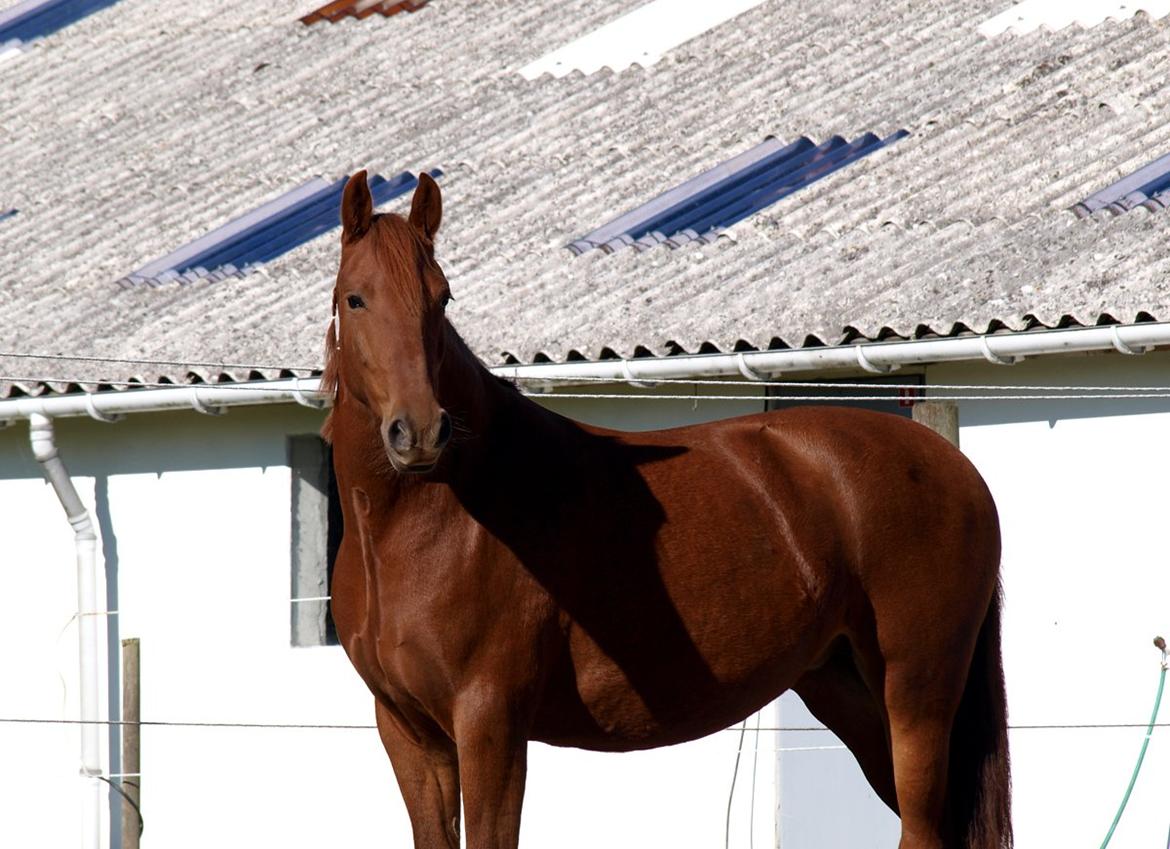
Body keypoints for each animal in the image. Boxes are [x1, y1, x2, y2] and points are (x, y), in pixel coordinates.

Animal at [322, 173, 1015, 849]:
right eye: (355, 299)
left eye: (441, 300)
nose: (419, 433)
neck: (430, 526)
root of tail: (952, 465)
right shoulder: (411, 734)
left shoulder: (490, 723)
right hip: (846, 691)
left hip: (917, 696)